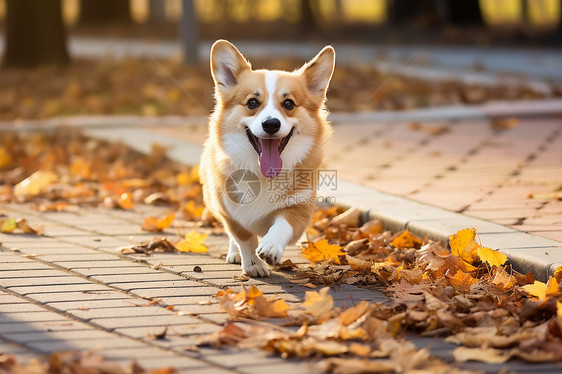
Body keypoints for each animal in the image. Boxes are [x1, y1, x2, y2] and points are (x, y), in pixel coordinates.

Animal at [200, 39, 334, 276]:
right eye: (252, 103)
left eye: (289, 104)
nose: (271, 124)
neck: (264, 174)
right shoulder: (227, 210)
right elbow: (243, 236)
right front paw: (253, 264)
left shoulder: (299, 207)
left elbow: (283, 224)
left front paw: (270, 247)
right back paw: (235, 253)